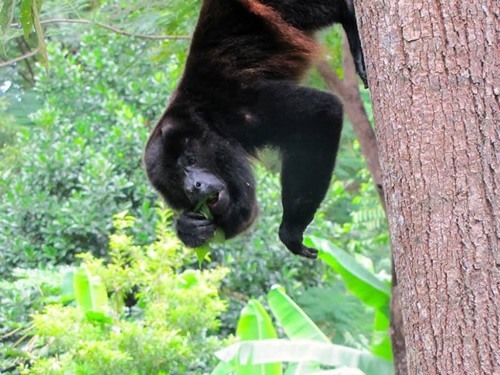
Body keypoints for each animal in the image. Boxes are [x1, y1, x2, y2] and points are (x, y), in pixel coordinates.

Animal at [145, 0, 368, 258]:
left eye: (190, 160)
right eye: (175, 180)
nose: (194, 187)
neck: (206, 120)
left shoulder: (239, 109)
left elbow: (321, 112)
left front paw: (291, 229)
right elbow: (244, 214)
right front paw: (187, 228)